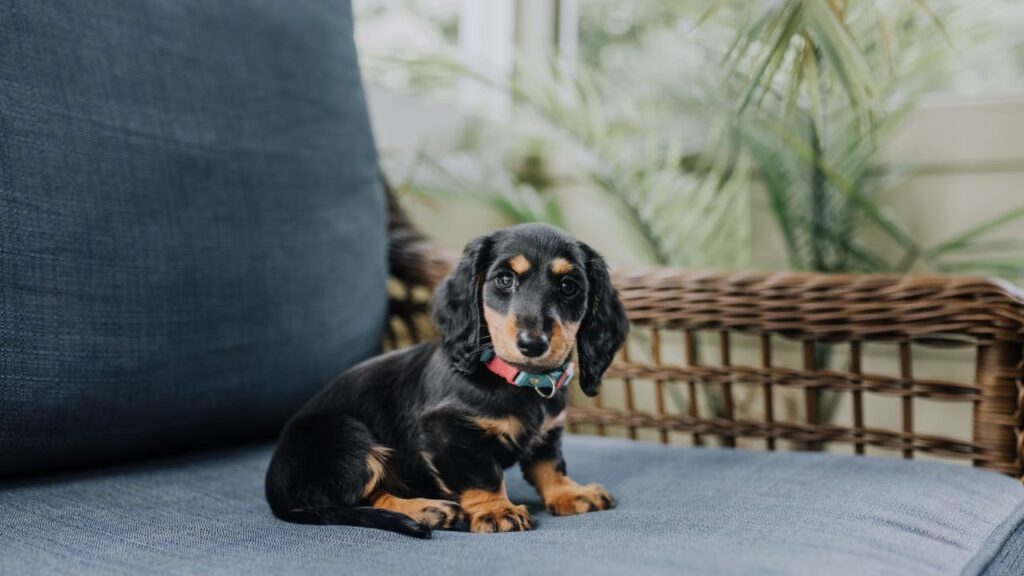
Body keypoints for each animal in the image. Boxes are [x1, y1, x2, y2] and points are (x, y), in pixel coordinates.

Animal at [262, 222, 630, 537]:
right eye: (505, 279)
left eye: (569, 286)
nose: (533, 344)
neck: (516, 380)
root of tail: (275, 490)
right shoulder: (450, 432)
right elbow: (482, 475)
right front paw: (496, 510)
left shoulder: (549, 431)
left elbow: (549, 464)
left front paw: (569, 493)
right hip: (345, 437)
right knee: (362, 496)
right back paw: (427, 509)